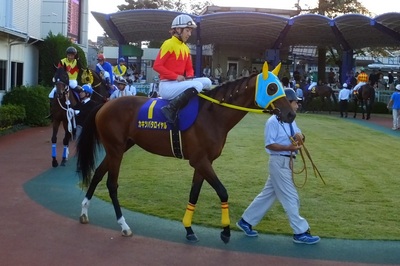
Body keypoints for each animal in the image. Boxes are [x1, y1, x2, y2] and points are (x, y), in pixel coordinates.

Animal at [75, 61, 296, 243]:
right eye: (272, 87)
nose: (290, 114)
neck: (212, 115)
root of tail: (105, 104)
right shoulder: (200, 161)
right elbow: (222, 191)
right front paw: (225, 231)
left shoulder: (204, 162)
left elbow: (194, 194)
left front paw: (189, 229)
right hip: (116, 150)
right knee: (112, 184)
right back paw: (124, 226)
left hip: (118, 148)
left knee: (97, 174)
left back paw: (84, 213)